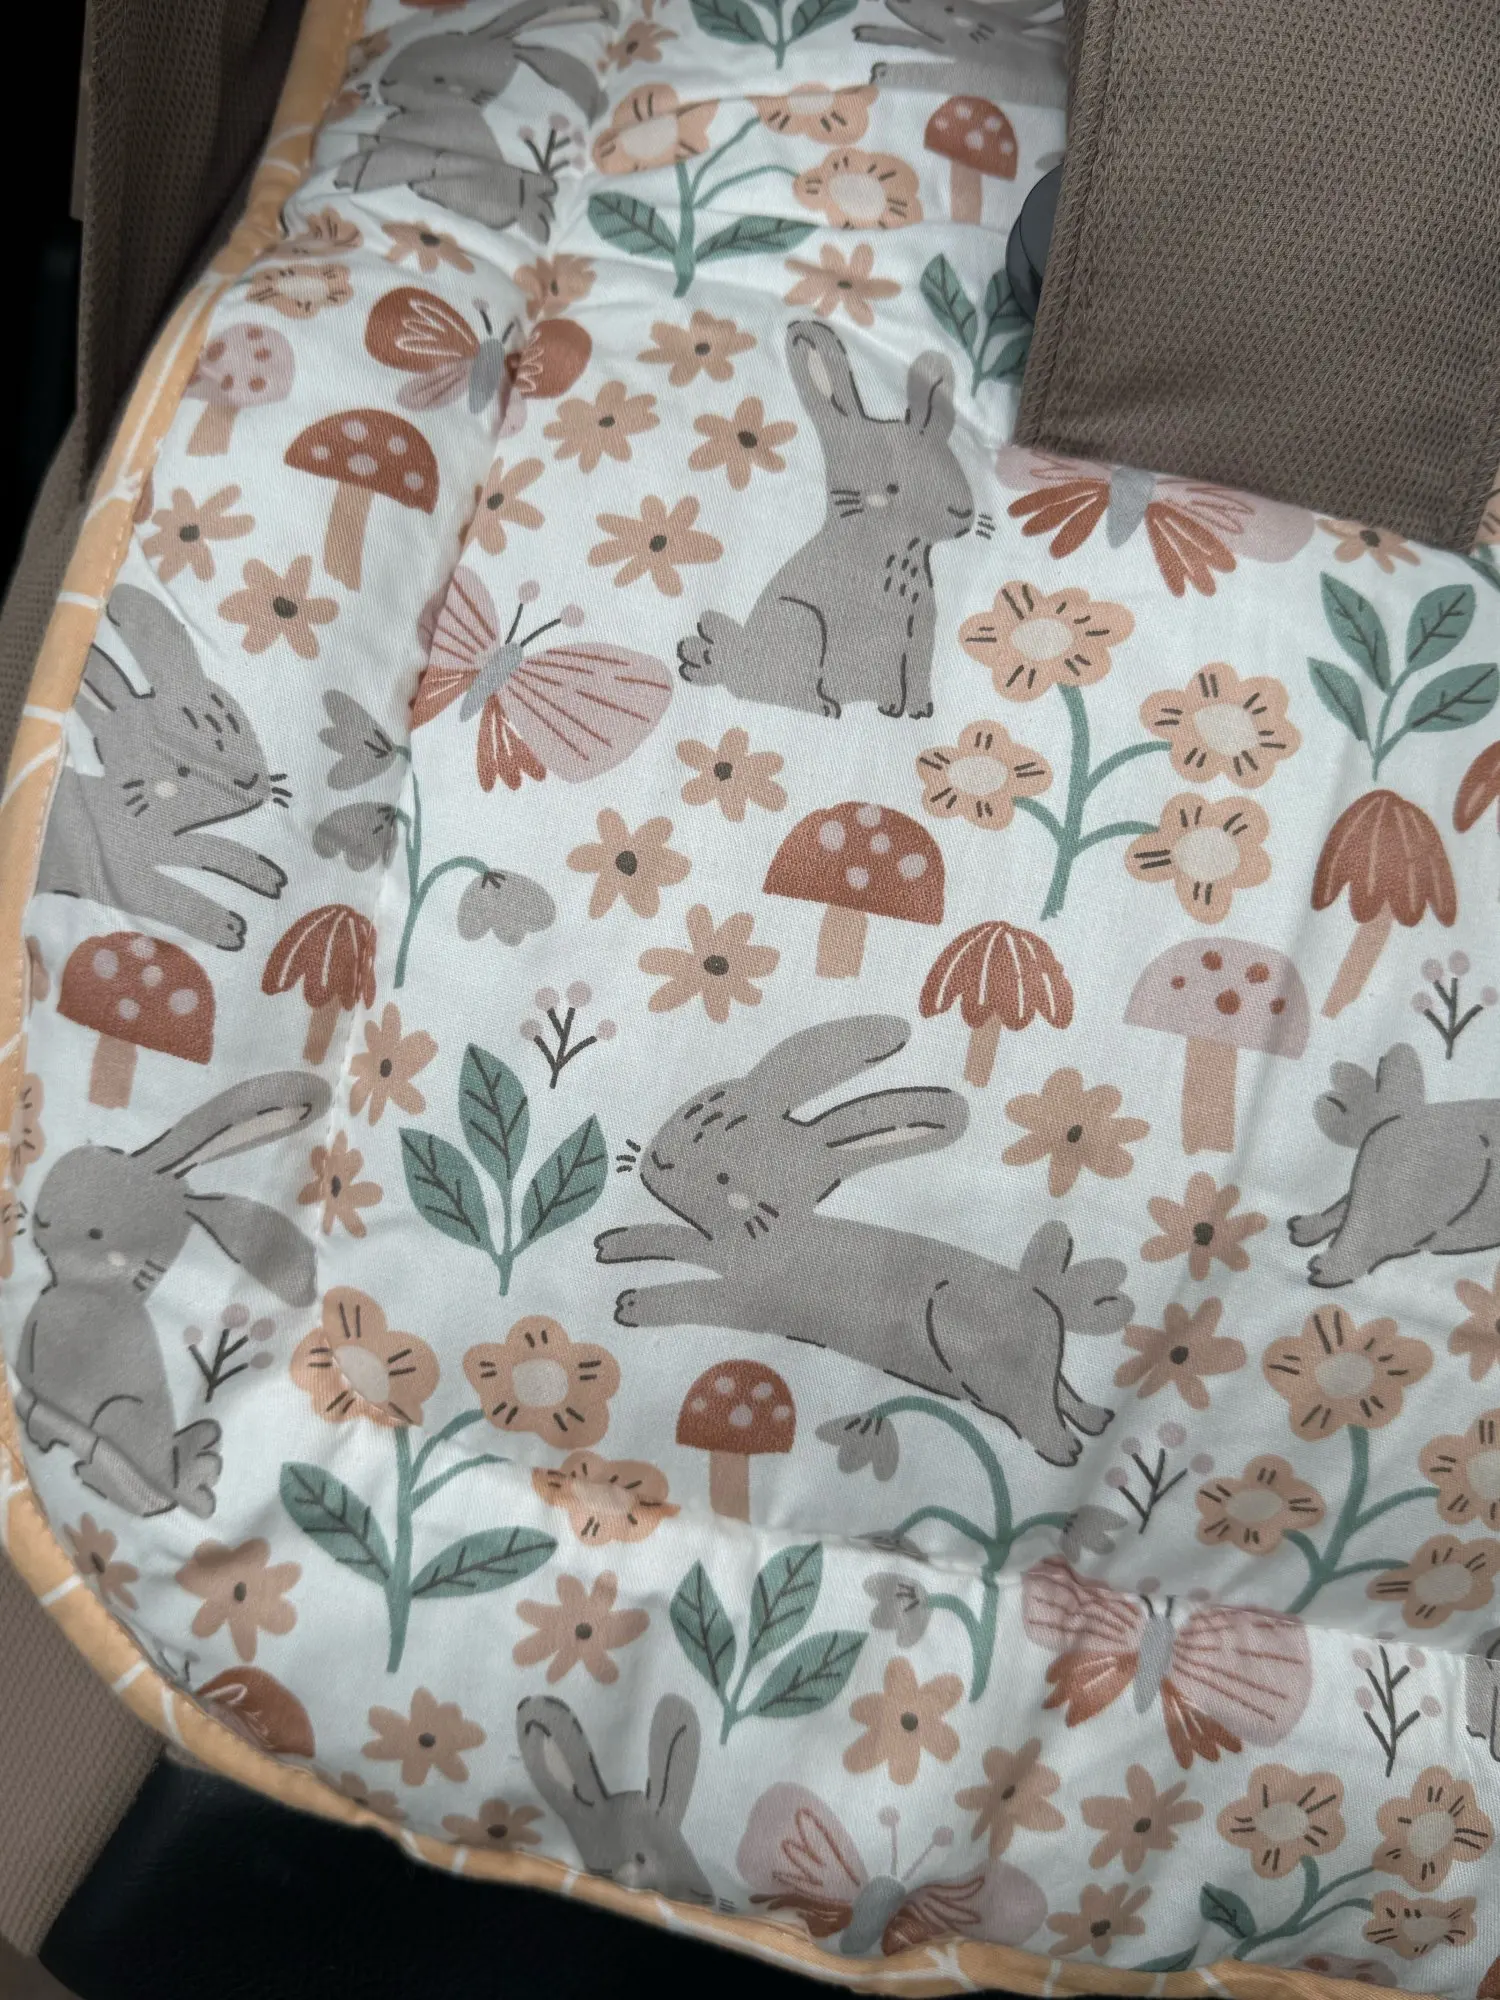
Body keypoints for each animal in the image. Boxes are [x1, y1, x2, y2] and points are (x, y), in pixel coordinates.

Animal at [35, 585, 289, 952]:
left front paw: (262, 872)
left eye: (235, 724)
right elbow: (170, 893)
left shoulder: (165, 839)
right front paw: (225, 926)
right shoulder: (123, 870)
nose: (249, 780)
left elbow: (209, 845)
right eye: (181, 771)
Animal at [595, 1016, 1130, 1466]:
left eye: (726, 1178)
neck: (778, 1227)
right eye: (698, 1109)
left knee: (1039, 1414)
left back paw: (1064, 1451)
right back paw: (1098, 1416)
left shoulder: (749, 1296)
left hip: (986, 1356)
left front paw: (634, 1304)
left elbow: (695, 1293)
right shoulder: (717, 1246)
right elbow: (675, 1237)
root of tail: (1042, 1294)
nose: (658, 1159)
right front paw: (614, 1243)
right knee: (1061, 1390)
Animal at [678, 322, 974, 721]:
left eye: (956, 473)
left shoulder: (920, 639)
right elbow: (888, 674)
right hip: (800, 622)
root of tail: (732, 666)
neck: (900, 554)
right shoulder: (882, 635)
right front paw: (891, 706)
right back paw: (825, 706)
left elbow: (916, 676)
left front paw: (920, 711)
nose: (963, 514)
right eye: (891, 487)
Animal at [1289, 1043, 1500, 1288]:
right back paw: (1326, 1270)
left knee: (1349, 1210)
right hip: (1414, 1192)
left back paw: (1304, 1229)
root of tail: (1400, 1114)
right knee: (1371, 1235)